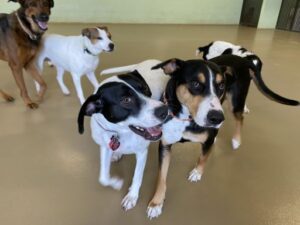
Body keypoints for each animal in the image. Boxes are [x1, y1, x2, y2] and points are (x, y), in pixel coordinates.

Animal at [78, 70, 169, 211]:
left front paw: (132, 196)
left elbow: (137, 176)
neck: (119, 133)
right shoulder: (105, 146)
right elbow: (103, 177)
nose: (164, 110)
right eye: (126, 100)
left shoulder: (142, 152)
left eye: (145, 88)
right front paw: (116, 183)